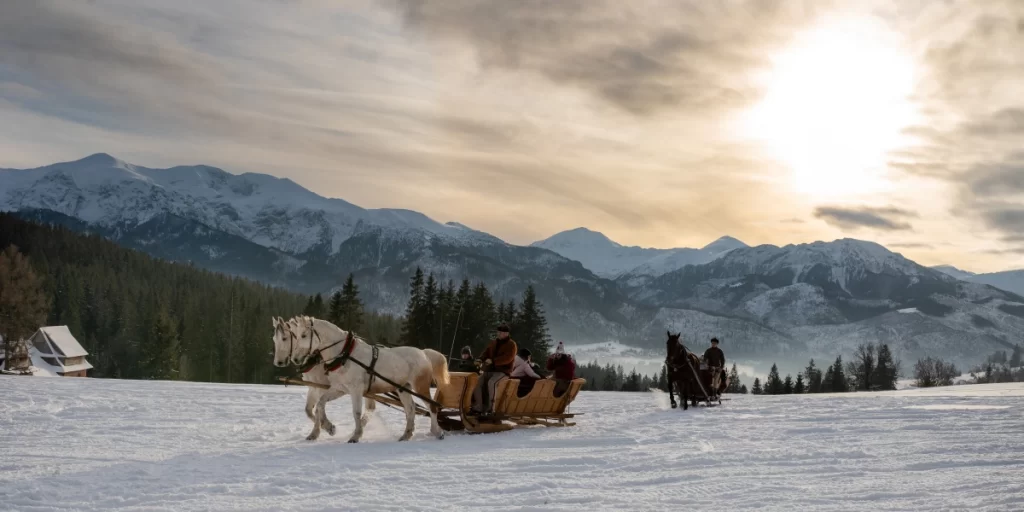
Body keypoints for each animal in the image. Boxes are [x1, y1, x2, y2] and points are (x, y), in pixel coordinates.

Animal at [288, 313, 448, 442]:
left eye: (303, 335)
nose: (295, 359)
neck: (344, 354)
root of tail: (423, 353)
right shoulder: (340, 388)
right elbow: (320, 404)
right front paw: (330, 427)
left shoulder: (356, 390)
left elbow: (356, 412)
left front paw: (355, 436)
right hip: (403, 388)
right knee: (410, 409)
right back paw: (406, 435)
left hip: (420, 386)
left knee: (432, 406)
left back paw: (437, 432)